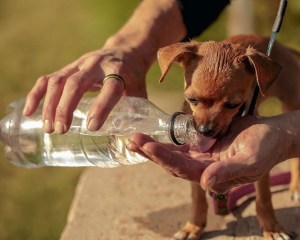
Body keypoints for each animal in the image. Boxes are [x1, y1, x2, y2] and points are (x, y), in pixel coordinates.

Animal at [158, 34, 298, 240]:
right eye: (192, 99)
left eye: (233, 105)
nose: (205, 130)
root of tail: (283, 47)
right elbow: (198, 199)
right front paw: (193, 226)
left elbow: (264, 198)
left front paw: (272, 228)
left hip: (292, 102)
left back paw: (296, 186)